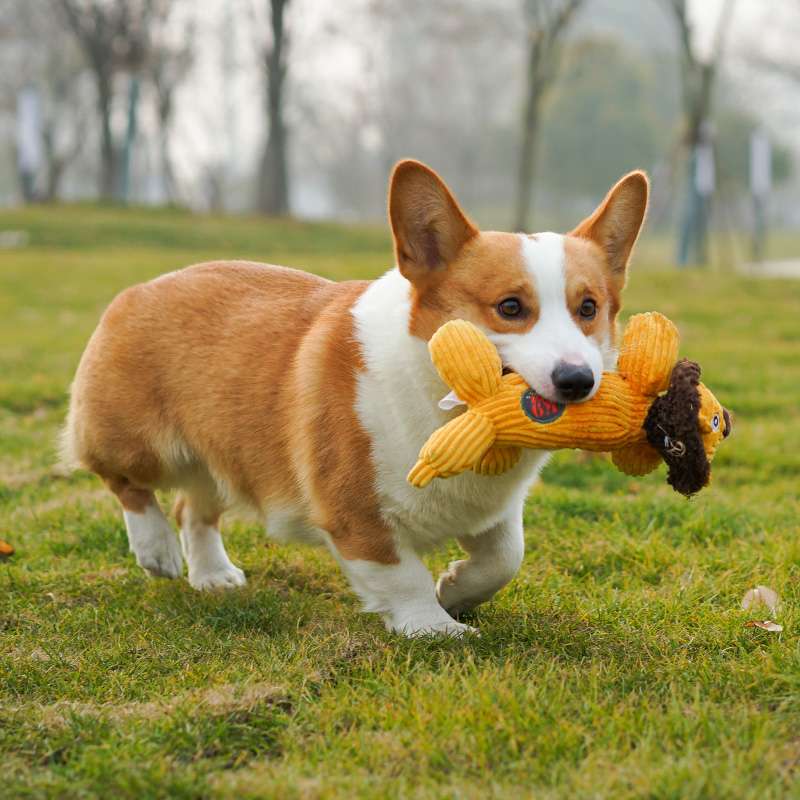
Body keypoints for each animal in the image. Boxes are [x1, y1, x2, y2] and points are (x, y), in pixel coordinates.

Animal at [62, 161, 648, 636]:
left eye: (589, 308)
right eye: (509, 307)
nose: (578, 380)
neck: (449, 406)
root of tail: (140, 288)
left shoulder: (492, 515)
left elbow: (505, 558)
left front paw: (455, 589)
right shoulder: (356, 515)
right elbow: (403, 575)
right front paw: (435, 626)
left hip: (226, 457)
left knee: (193, 507)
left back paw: (212, 575)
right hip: (141, 445)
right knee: (123, 480)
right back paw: (155, 549)